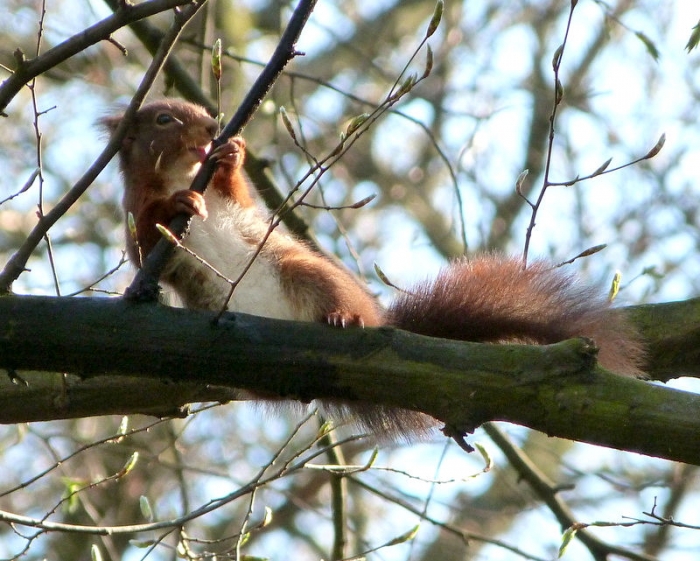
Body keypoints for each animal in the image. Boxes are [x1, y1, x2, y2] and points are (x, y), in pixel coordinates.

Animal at [102, 99, 645, 438]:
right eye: (164, 119)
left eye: (202, 117)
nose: (214, 128)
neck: (182, 173)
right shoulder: (134, 210)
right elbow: (146, 238)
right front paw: (178, 203)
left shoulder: (238, 204)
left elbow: (239, 195)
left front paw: (232, 154)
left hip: (303, 270)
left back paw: (345, 317)